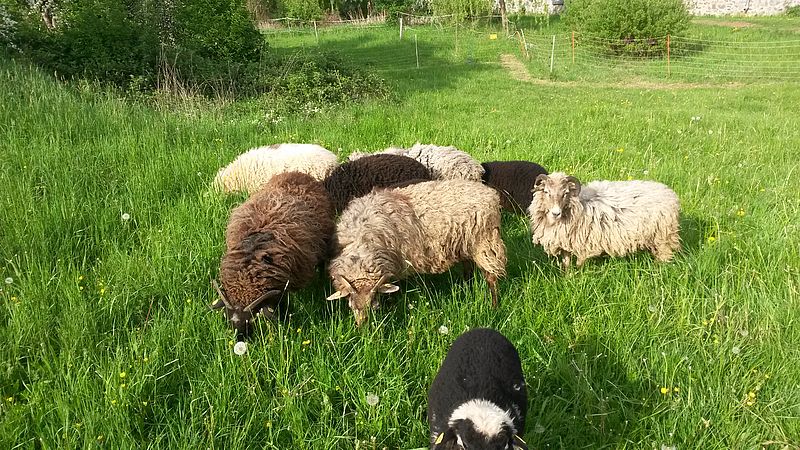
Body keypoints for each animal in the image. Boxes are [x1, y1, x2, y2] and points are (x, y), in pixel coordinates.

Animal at [326, 179, 506, 326]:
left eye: (374, 305)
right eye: (351, 304)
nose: (363, 328)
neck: (361, 244)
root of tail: (490, 193)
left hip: (485, 243)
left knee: (491, 278)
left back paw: (494, 307)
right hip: (466, 243)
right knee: (468, 268)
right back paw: (466, 287)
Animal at [528, 172, 680, 268]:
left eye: (565, 193)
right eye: (546, 192)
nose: (556, 213)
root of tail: (669, 192)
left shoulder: (583, 244)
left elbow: (579, 264)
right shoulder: (565, 242)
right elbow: (566, 263)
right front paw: (566, 278)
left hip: (663, 235)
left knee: (665, 255)